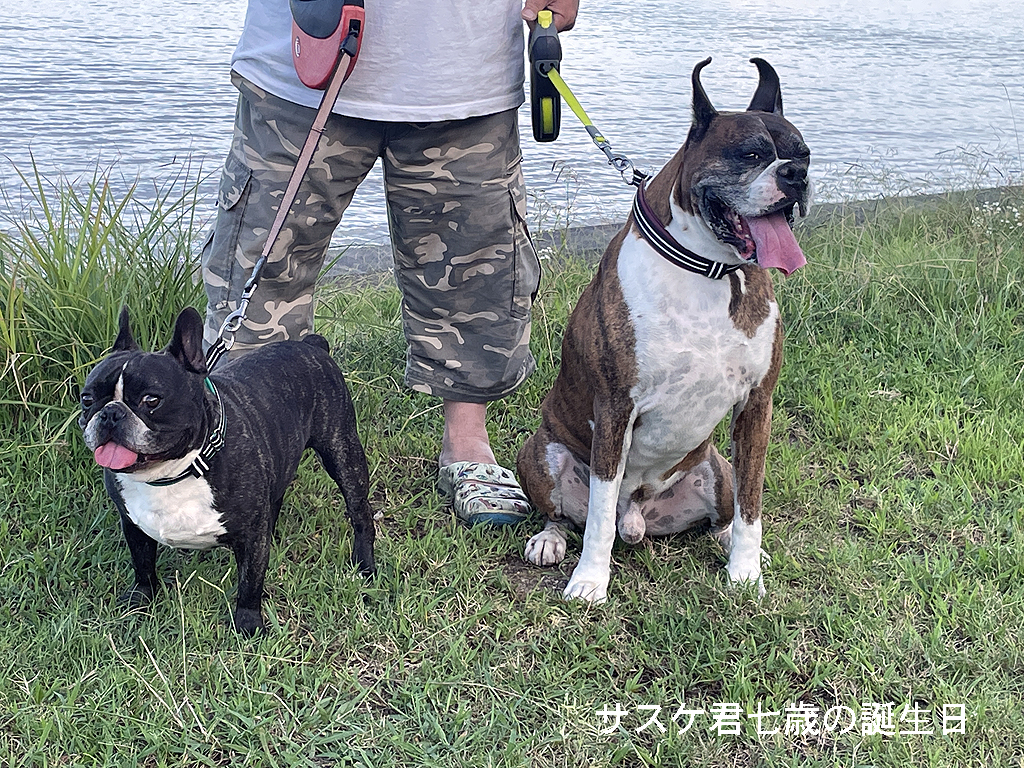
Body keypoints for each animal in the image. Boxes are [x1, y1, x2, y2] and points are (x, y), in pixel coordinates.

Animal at [79, 309, 376, 638]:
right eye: (87, 399)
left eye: (151, 400)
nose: (110, 413)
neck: (174, 472)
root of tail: (312, 346)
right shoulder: (132, 523)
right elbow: (142, 563)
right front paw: (141, 599)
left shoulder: (250, 539)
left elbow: (250, 582)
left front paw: (248, 624)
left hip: (342, 451)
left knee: (359, 512)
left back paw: (365, 566)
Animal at [516, 57, 811, 606]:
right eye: (752, 154)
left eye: (804, 154)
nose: (797, 175)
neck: (708, 269)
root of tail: (639, 517)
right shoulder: (615, 408)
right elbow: (597, 515)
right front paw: (590, 580)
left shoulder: (757, 406)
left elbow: (752, 506)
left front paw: (746, 574)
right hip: (539, 452)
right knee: (566, 514)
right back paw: (550, 539)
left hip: (716, 469)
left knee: (723, 512)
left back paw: (724, 540)